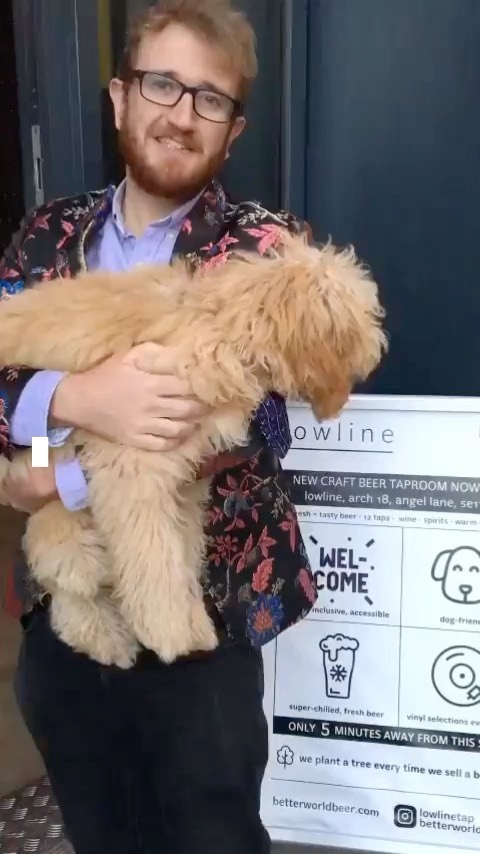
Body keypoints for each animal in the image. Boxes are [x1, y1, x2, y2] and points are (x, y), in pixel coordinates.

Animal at [0, 232, 387, 667]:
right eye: (359, 316)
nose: (378, 349)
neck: (222, 324)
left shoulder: (184, 484)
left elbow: (180, 555)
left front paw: (193, 623)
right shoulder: (133, 467)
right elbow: (152, 556)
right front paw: (168, 632)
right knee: (69, 571)